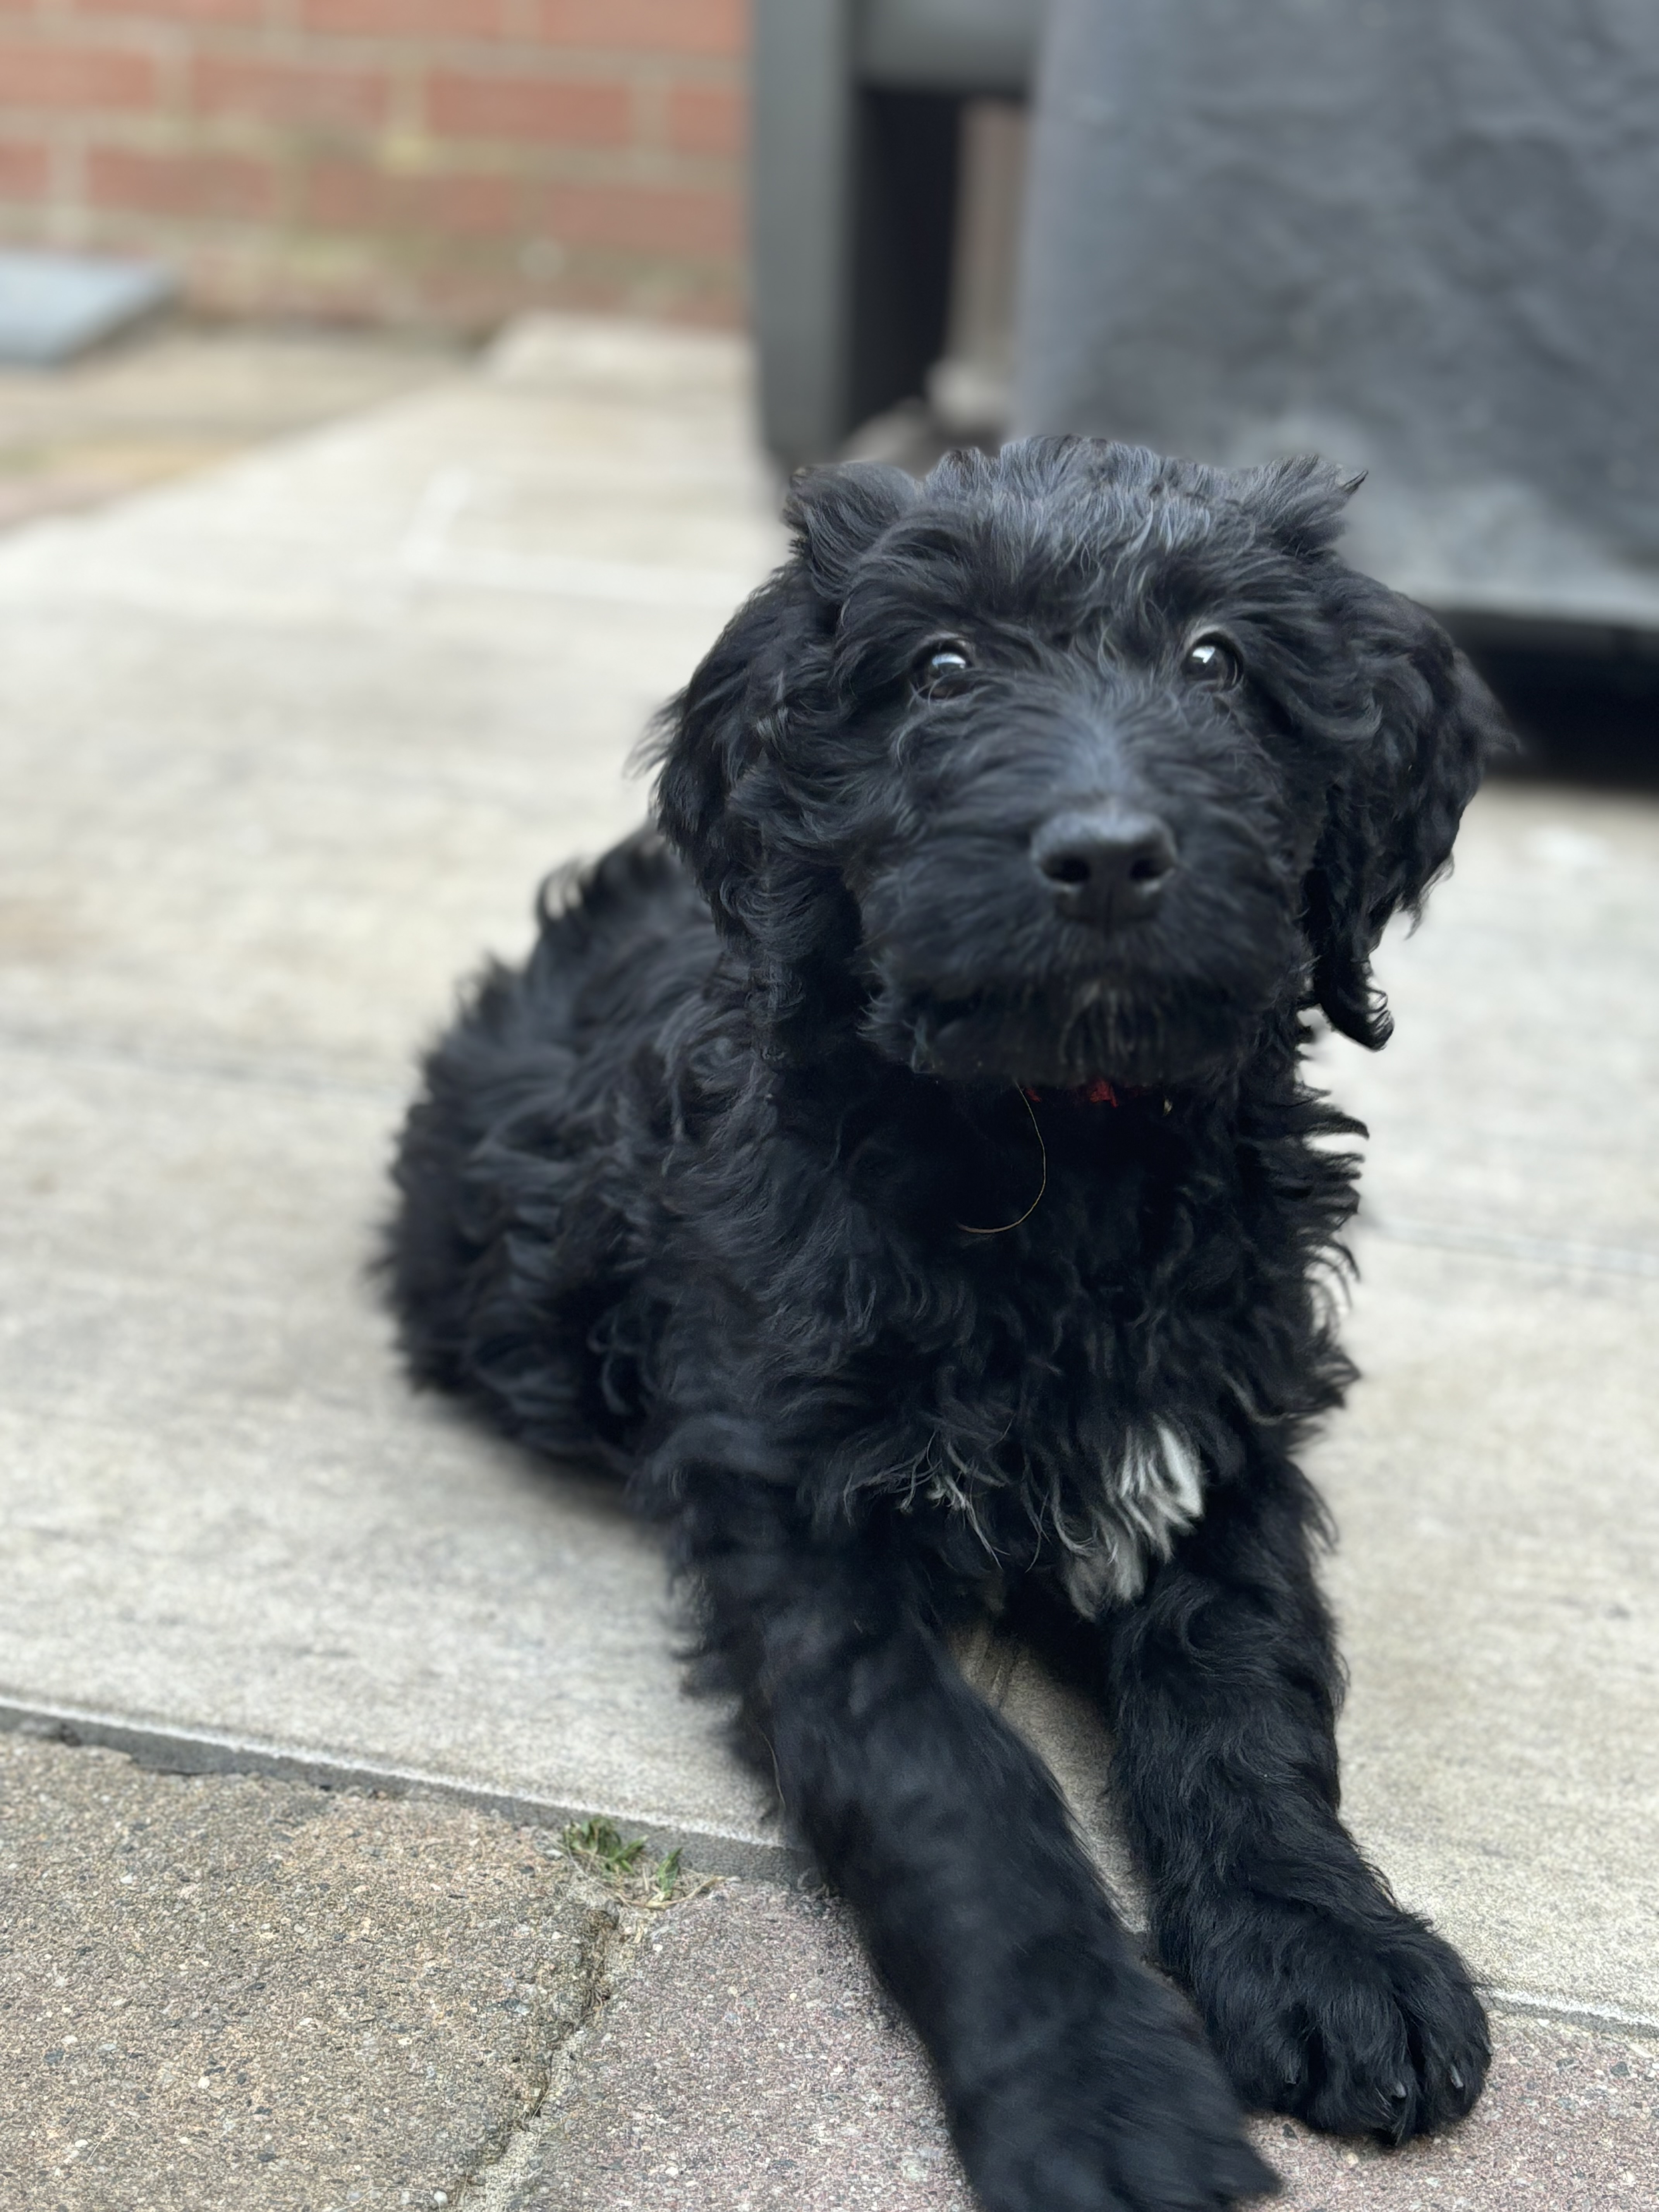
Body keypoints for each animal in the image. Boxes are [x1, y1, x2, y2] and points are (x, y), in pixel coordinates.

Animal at [389, 445, 1504, 2212]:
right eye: (939, 670)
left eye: (1219, 664)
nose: (1107, 854)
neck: (1057, 1139)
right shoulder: (795, 1519)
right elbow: (957, 1789)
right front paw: (1103, 2097)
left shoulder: (1216, 1448)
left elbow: (1247, 1692)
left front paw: (1328, 1950)